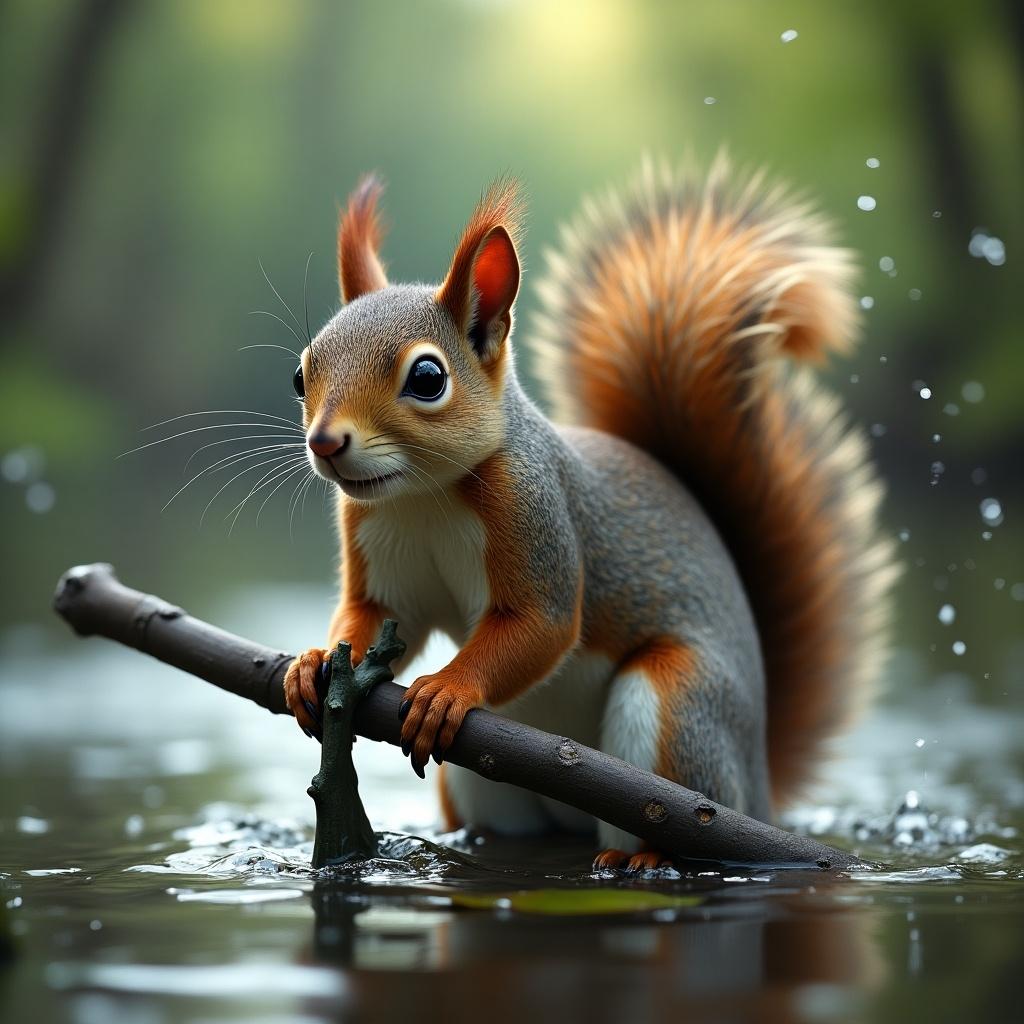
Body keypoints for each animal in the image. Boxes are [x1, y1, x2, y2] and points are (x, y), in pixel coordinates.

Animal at [280, 155, 897, 868]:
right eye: (301, 375)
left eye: (428, 379)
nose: (325, 442)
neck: (422, 498)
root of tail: (760, 789)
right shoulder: (377, 545)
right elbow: (376, 617)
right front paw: (311, 664)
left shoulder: (536, 510)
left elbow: (544, 624)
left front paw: (447, 690)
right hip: (480, 785)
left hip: (677, 710)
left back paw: (645, 856)